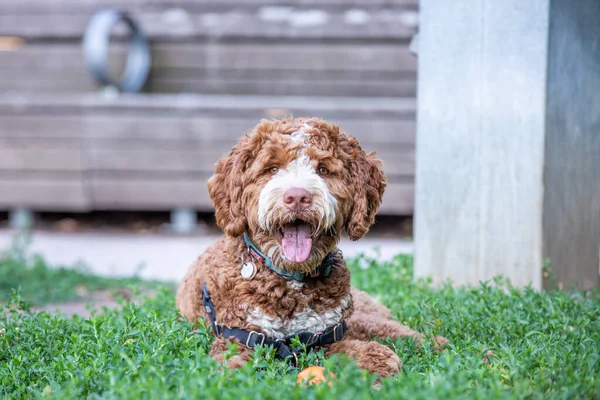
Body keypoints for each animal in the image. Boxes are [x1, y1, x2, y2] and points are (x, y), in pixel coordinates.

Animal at [176, 117, 448, 376]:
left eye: (323, 169)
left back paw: (433, 342)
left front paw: (379, 363)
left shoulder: (326, 336)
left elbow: (361, 349)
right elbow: (232, 363)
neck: (291, 279)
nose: (297, 197)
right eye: (272, 168)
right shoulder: (241, 336)